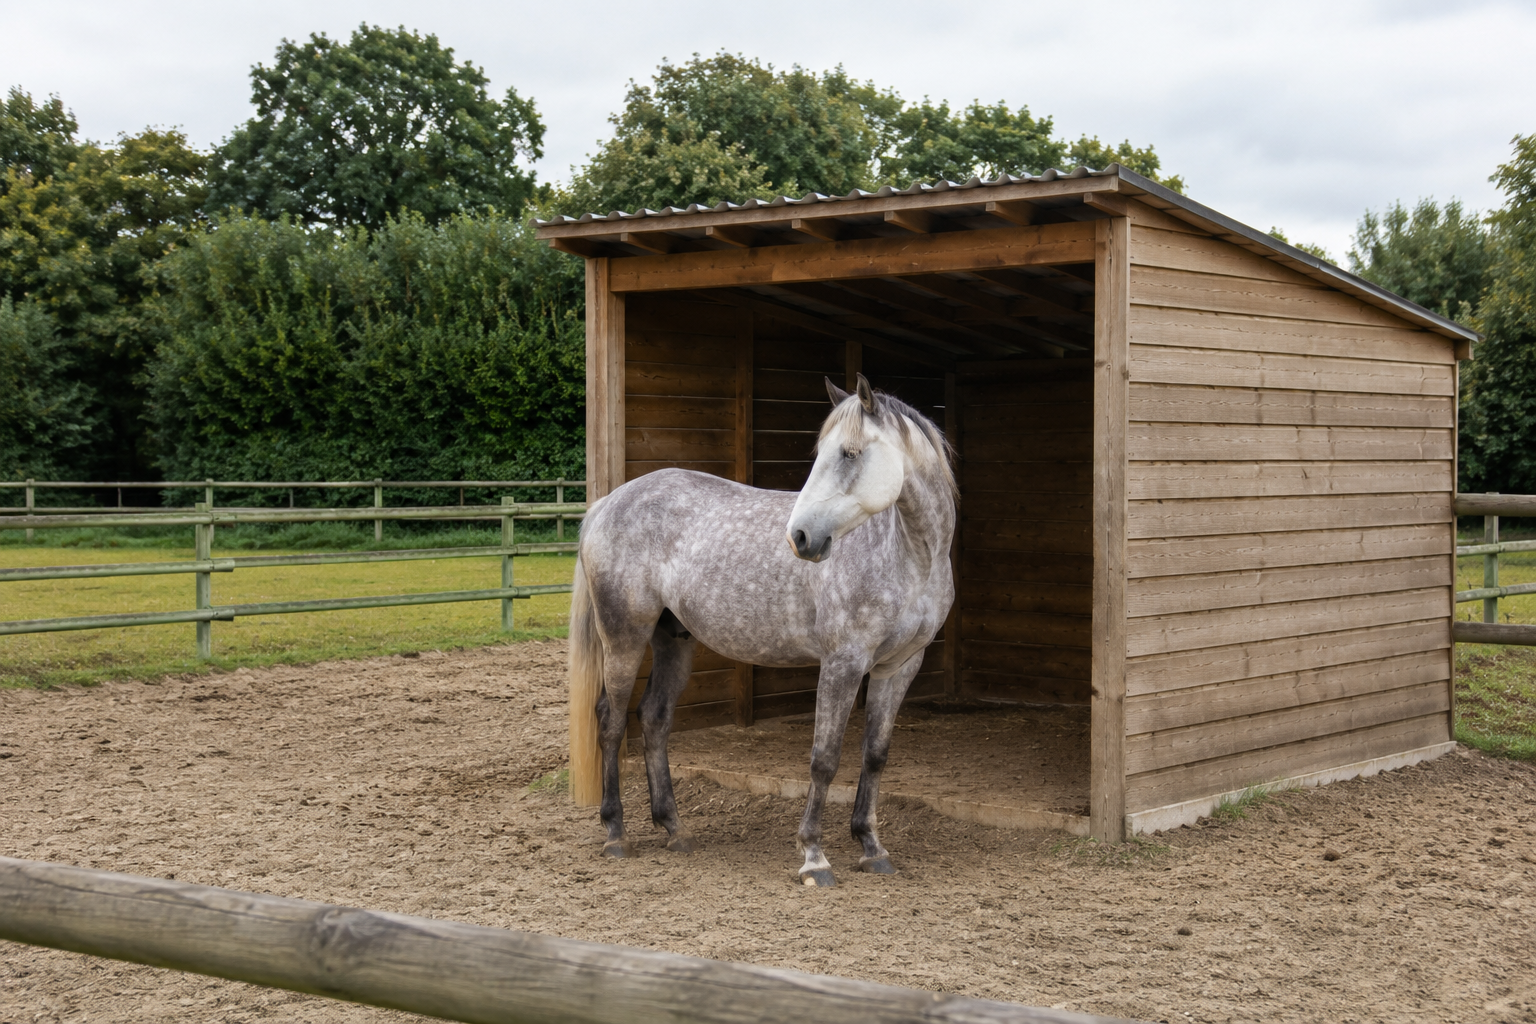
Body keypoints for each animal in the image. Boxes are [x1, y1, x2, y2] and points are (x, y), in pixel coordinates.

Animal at [567, 374, 957, 887]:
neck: (908, 555)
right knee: (610, 721)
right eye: (821, 451)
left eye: (850, 453)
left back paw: (674, 829)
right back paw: (615, 833)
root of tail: (607, 502)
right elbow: (824, 758)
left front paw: (872, 848)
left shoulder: (899, 666)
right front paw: (814, 856)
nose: (801, 538)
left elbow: (875, 755)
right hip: (624, 636)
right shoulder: (843, 662)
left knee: (654, 718)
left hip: (673, 639)